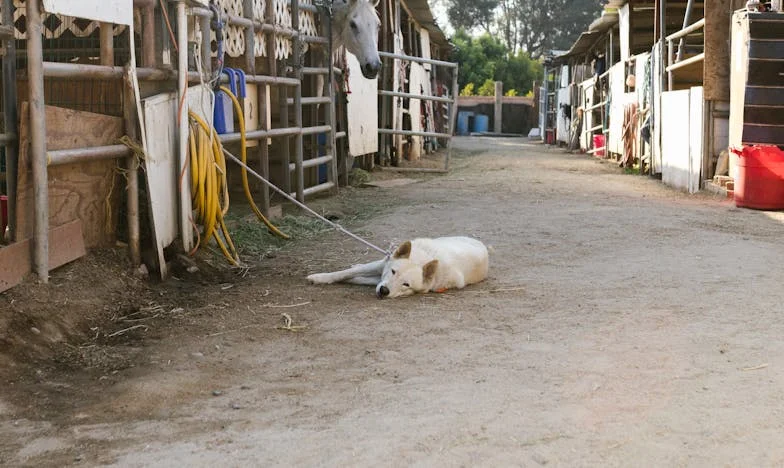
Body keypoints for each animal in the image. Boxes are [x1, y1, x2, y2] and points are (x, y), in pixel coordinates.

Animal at [306, 236, 490, 298]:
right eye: (393, 271)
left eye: (406, 284)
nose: (383, 291)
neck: (422, 258)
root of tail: (481, 244)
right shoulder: (382, 266)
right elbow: (348, 273)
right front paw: (320, 277)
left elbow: (358, 278)